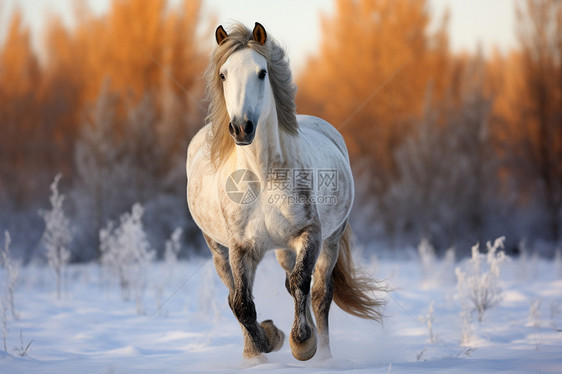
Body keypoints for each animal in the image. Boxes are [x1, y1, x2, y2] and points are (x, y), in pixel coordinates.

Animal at [186, 21, 382, 360]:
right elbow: (242, 304)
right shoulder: (240, 248)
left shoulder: (310, 234)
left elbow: (304, 284)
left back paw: (324, 354)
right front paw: (265, 343)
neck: (263, 176)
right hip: (222, 249)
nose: (242, 128)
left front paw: (302, 343)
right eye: (223, 74)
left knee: (319, 293)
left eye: (262, 72)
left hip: (329, 239)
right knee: (237, 294)